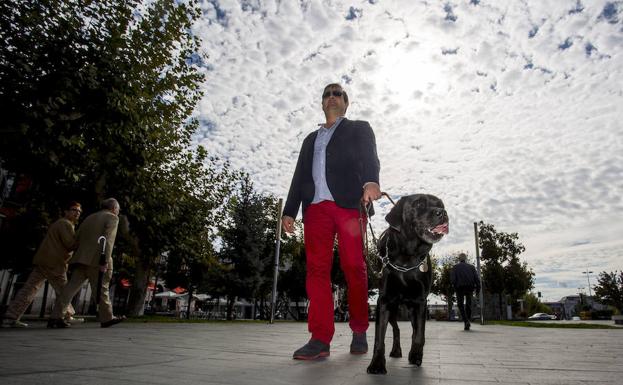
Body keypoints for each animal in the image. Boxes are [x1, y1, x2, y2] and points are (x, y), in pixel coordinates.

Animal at [366, 194, 448, 374]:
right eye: (418, 204)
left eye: (440, 204)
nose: (442, 212)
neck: (407, 258)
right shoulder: (384, 301)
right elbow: (379, 337)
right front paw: (376, 364)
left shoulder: (420, 302)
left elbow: (419, 335)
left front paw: (416, 355)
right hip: (393, 308)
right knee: (396, 329)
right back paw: (396, 350)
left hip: (410, 309)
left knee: (412, 330)